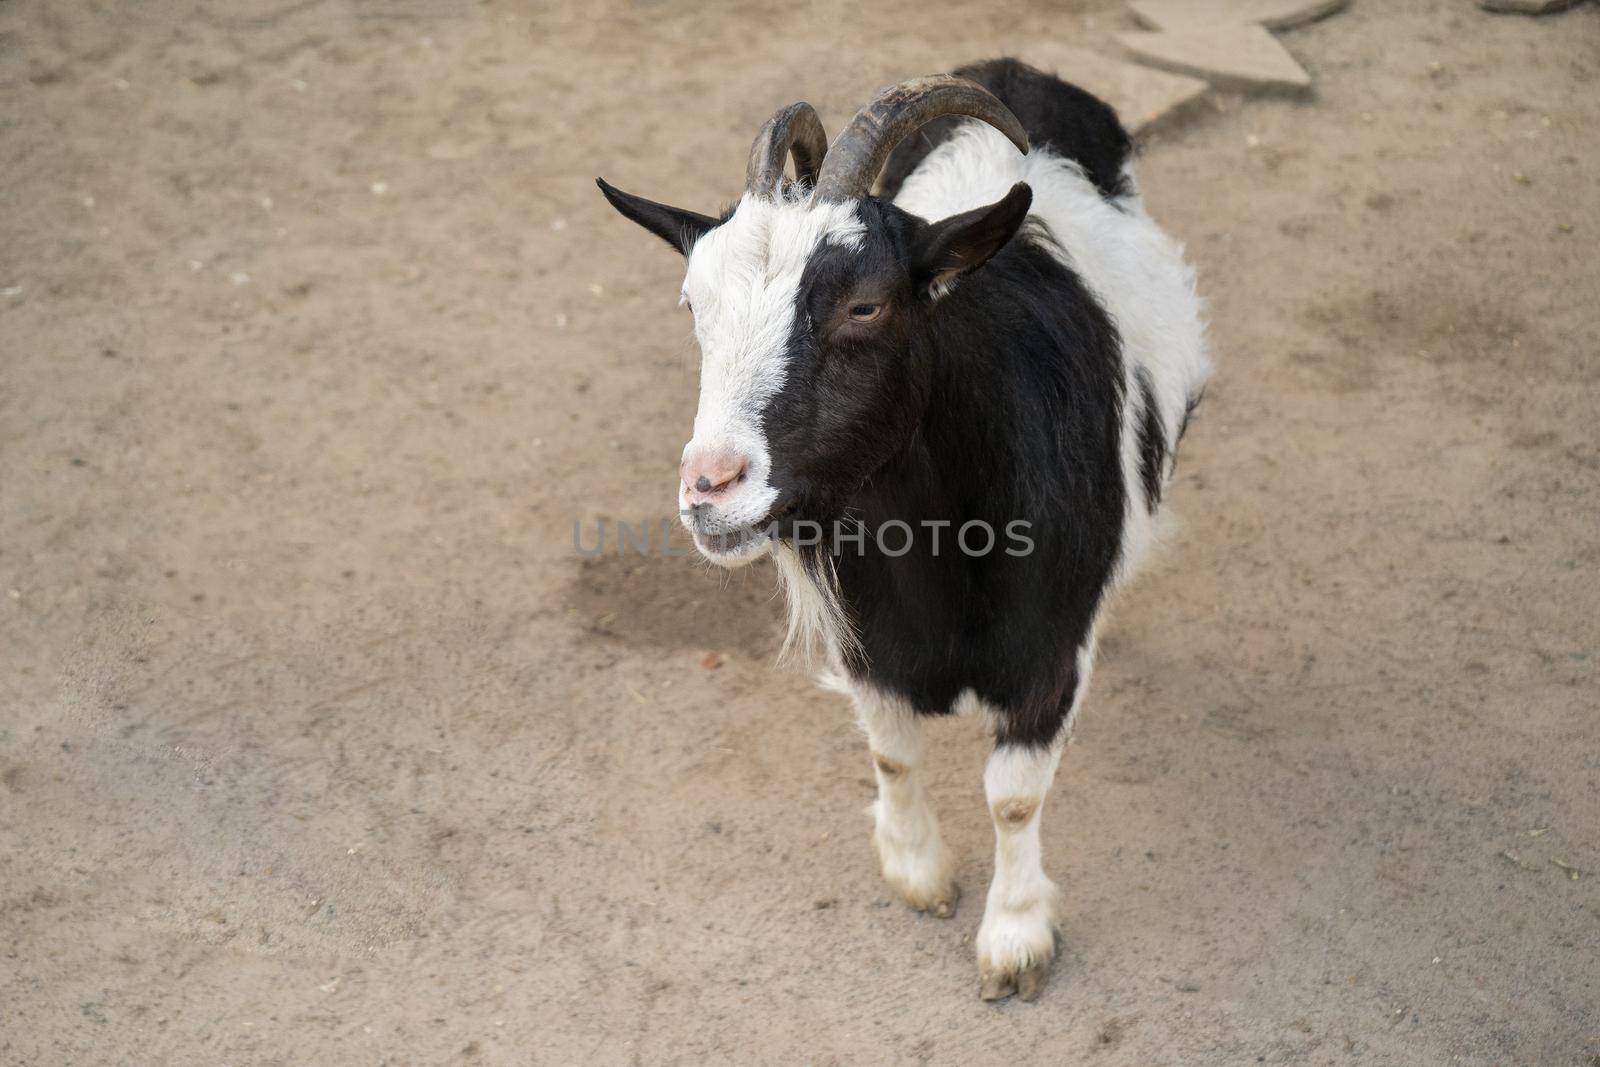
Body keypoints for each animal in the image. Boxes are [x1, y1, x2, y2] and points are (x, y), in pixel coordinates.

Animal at [601, 60, 1209, 1004]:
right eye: (693, 302)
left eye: (864, 306)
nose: (709, 486)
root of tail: (1017, 71)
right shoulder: (868, 639)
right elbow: (891, 751)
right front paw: (918, 870)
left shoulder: (1045, 649)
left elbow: (1013, 794)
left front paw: (1014, 935)